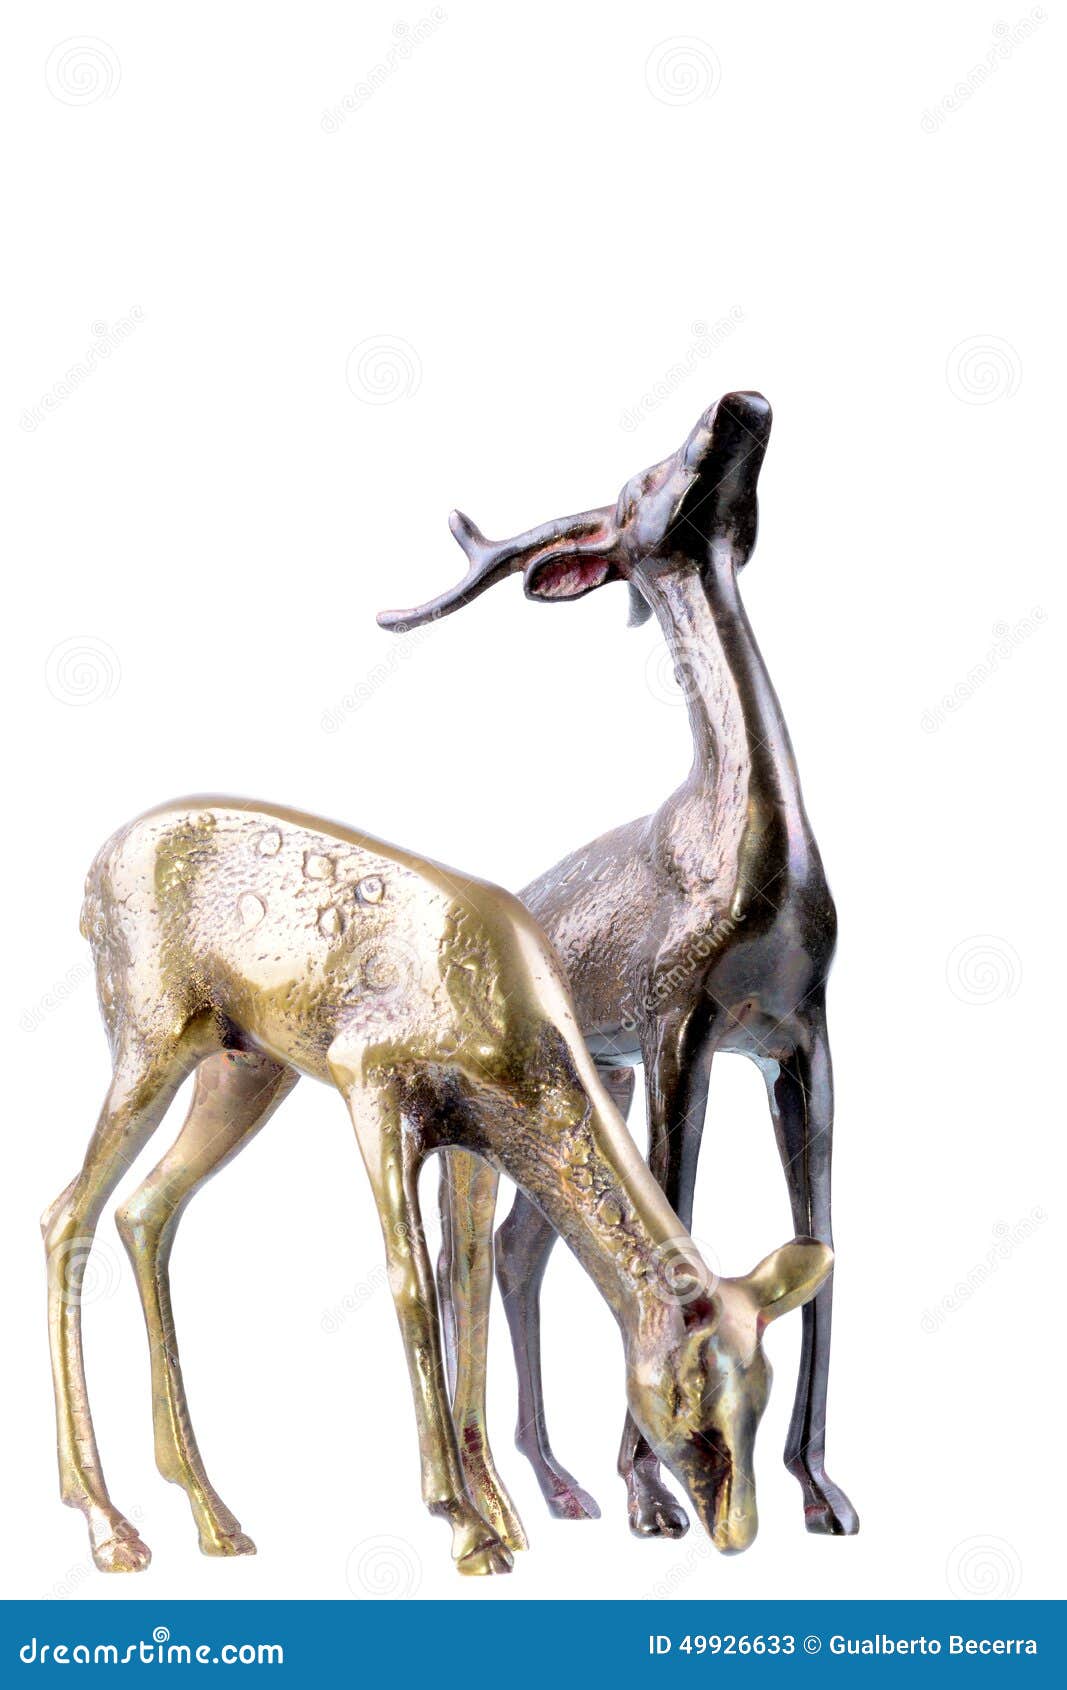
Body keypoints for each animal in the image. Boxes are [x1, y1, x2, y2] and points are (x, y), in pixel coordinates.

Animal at [42, 795, 832, 1576]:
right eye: (686, 1392)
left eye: (759, 1394)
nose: (736, 1531)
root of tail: (94, 870)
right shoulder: (371, 1088)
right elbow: (412, 1283)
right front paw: (467, 1527)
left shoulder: (479, 1139)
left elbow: (470, 1280)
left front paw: (505, 1514)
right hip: (152, 1040)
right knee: (67, 1212)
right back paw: (109, 1527)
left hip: (245, 1068)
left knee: (144, 1209)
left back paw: (213, 1516)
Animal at [378, 392, 859, 1543]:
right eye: (643, 477)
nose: (738, 403)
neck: (747, 863)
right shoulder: (675, 1021)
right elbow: (674, 1210)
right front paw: (653, 1491)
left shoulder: (800, 1035)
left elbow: (819, 1242)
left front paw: (820, 1491)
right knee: (472, 1252)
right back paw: (531, 1488)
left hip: (599, 1074)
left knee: (518, 1247)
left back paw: (555, 1483)